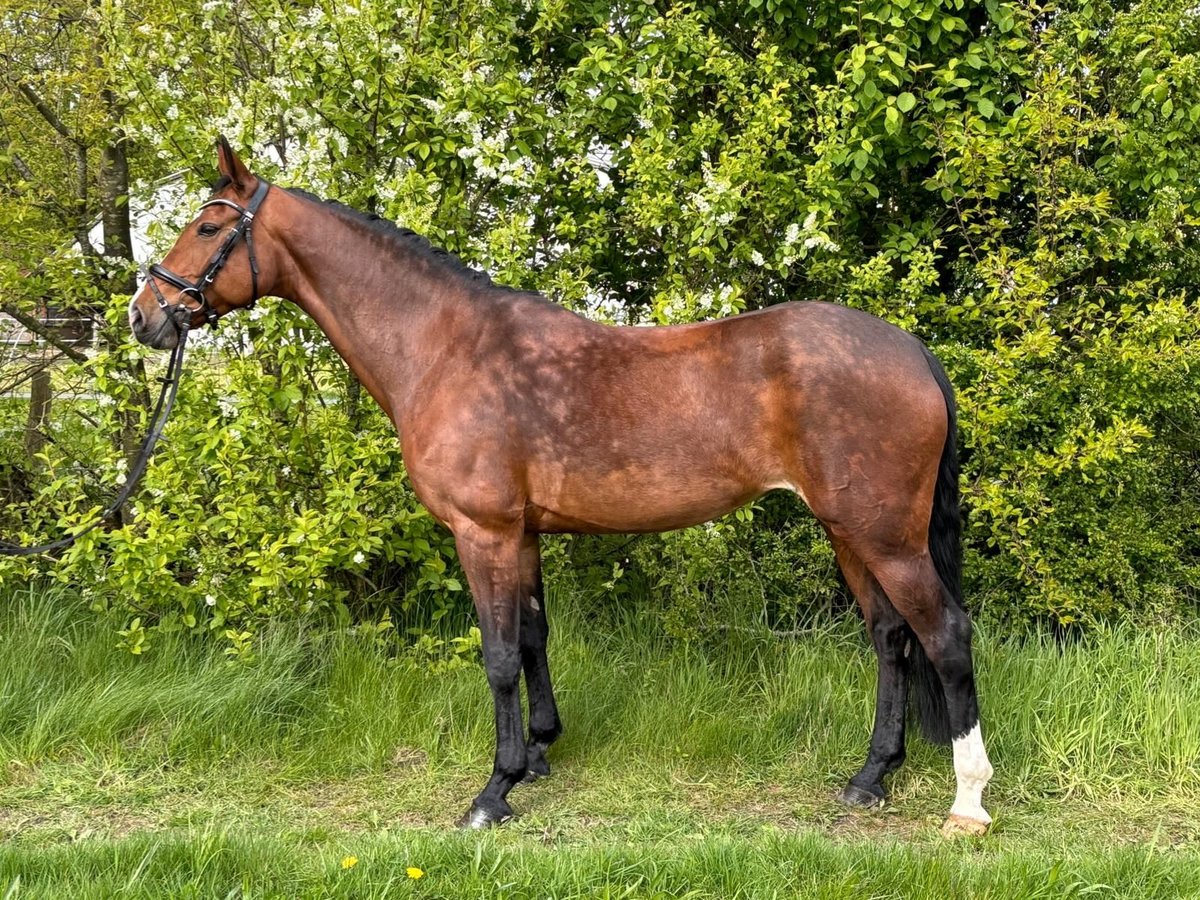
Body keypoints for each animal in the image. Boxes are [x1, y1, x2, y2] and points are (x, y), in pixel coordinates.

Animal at [129, 139, 993, 840]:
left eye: (207, 227)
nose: (144, 316)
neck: (446, 348)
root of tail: (910, 349)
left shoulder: (481, 531)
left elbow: (499, 654)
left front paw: (494, 792)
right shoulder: (523, 532)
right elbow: (535, 638)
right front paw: (539, 755)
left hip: (885, 536)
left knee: (946, 635)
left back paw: (969, 802)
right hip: (850, 533)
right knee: (890, 638)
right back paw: (870, 778)